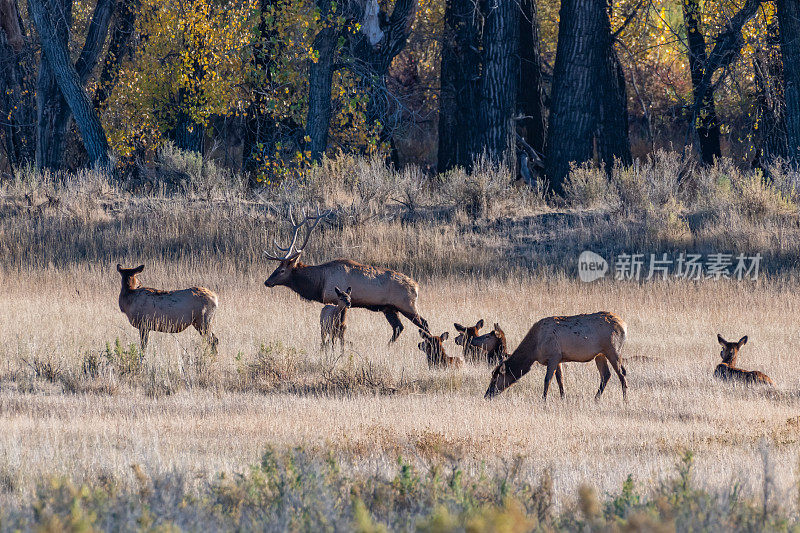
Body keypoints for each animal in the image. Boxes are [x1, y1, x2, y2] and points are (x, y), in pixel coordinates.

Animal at [264, 206, 432, 342]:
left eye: (282, 270)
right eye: (277, 267)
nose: (267, 282)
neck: (319, 282)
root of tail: (416, 287)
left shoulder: (332, 298)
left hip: (406, 305)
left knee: (424, 323)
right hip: (389, 308)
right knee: (398, 328)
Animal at [484, 310, 628, 402]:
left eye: (495, 379)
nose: (486, 395)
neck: (534, 349)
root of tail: (624, 324)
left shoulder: (553, 356)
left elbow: (547, 379)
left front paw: (543, 400)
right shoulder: (559, 358)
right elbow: (560, 380)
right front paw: (563, 398)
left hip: (613, 349)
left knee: (622, 373)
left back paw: (625, 400)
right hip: (600, 354)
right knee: (606, 374)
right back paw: (596, 399)